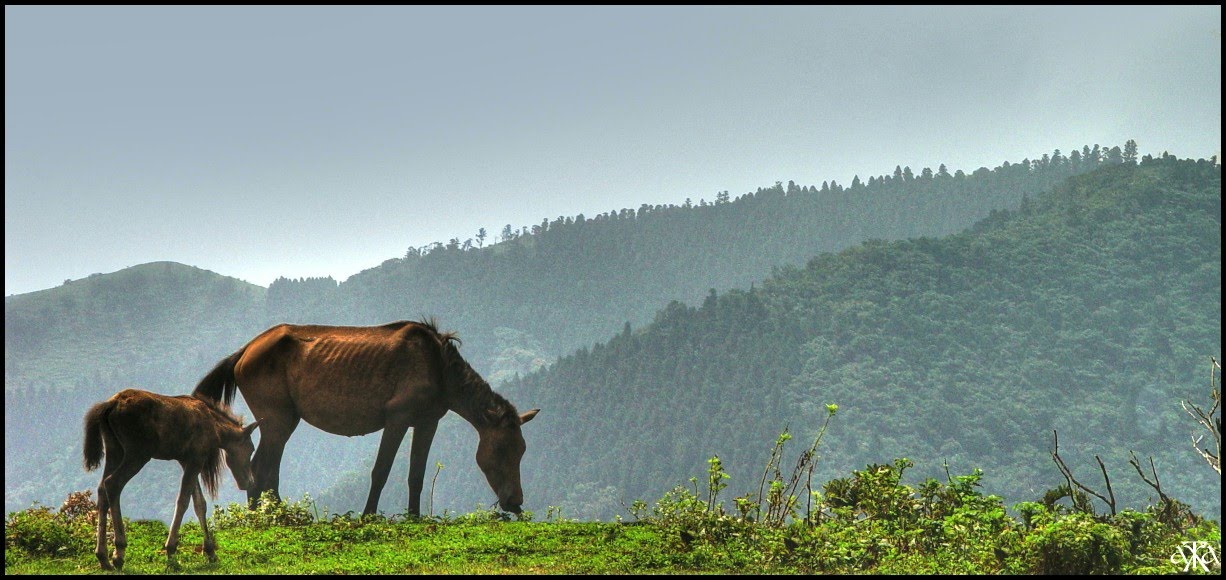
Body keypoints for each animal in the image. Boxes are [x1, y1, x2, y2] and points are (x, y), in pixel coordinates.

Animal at [85, 389, 262, 568]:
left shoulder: (188, 461)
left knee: (101, 489)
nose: (249, 482)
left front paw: (210, 551)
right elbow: (183, 501)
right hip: (137, 454)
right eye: (251, 448)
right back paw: (119, 553)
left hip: (114, 450)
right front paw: (171, 550)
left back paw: (103, 557)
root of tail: (111, 404)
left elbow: (199, 504)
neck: (214, 427)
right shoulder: (196, 460)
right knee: (112, 484)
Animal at [193, 321, 539, 515]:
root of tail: (244, 351)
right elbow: (381, 471)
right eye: (502, 449)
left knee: (264, 470)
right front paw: (368, 515)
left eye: (523, 450)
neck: (439, 368)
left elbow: (416, 475)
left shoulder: (427, 422)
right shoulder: (397, 419)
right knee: (262, 468)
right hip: (277, 420)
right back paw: (272, 517)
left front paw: (414, 517)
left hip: (282, 421)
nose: (515, 501)